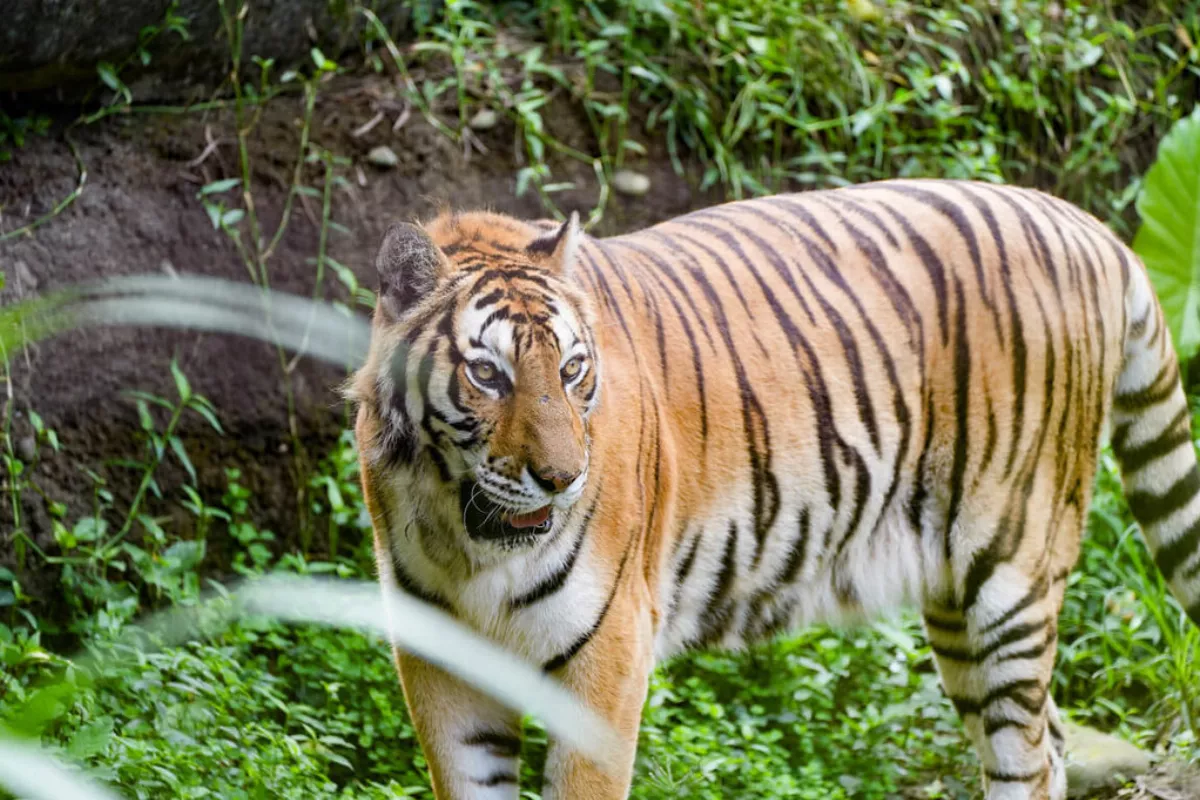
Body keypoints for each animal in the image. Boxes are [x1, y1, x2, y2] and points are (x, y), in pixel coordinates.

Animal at [348, 178, 1200, 800]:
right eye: (488, 374)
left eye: (572, 369)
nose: (560, 478)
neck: (467, 538)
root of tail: (1083, 223)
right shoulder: (438, 660)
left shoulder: (608, 651)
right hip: (957, 605)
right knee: (1046, 741)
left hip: (1011, 572)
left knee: (1027, 754)